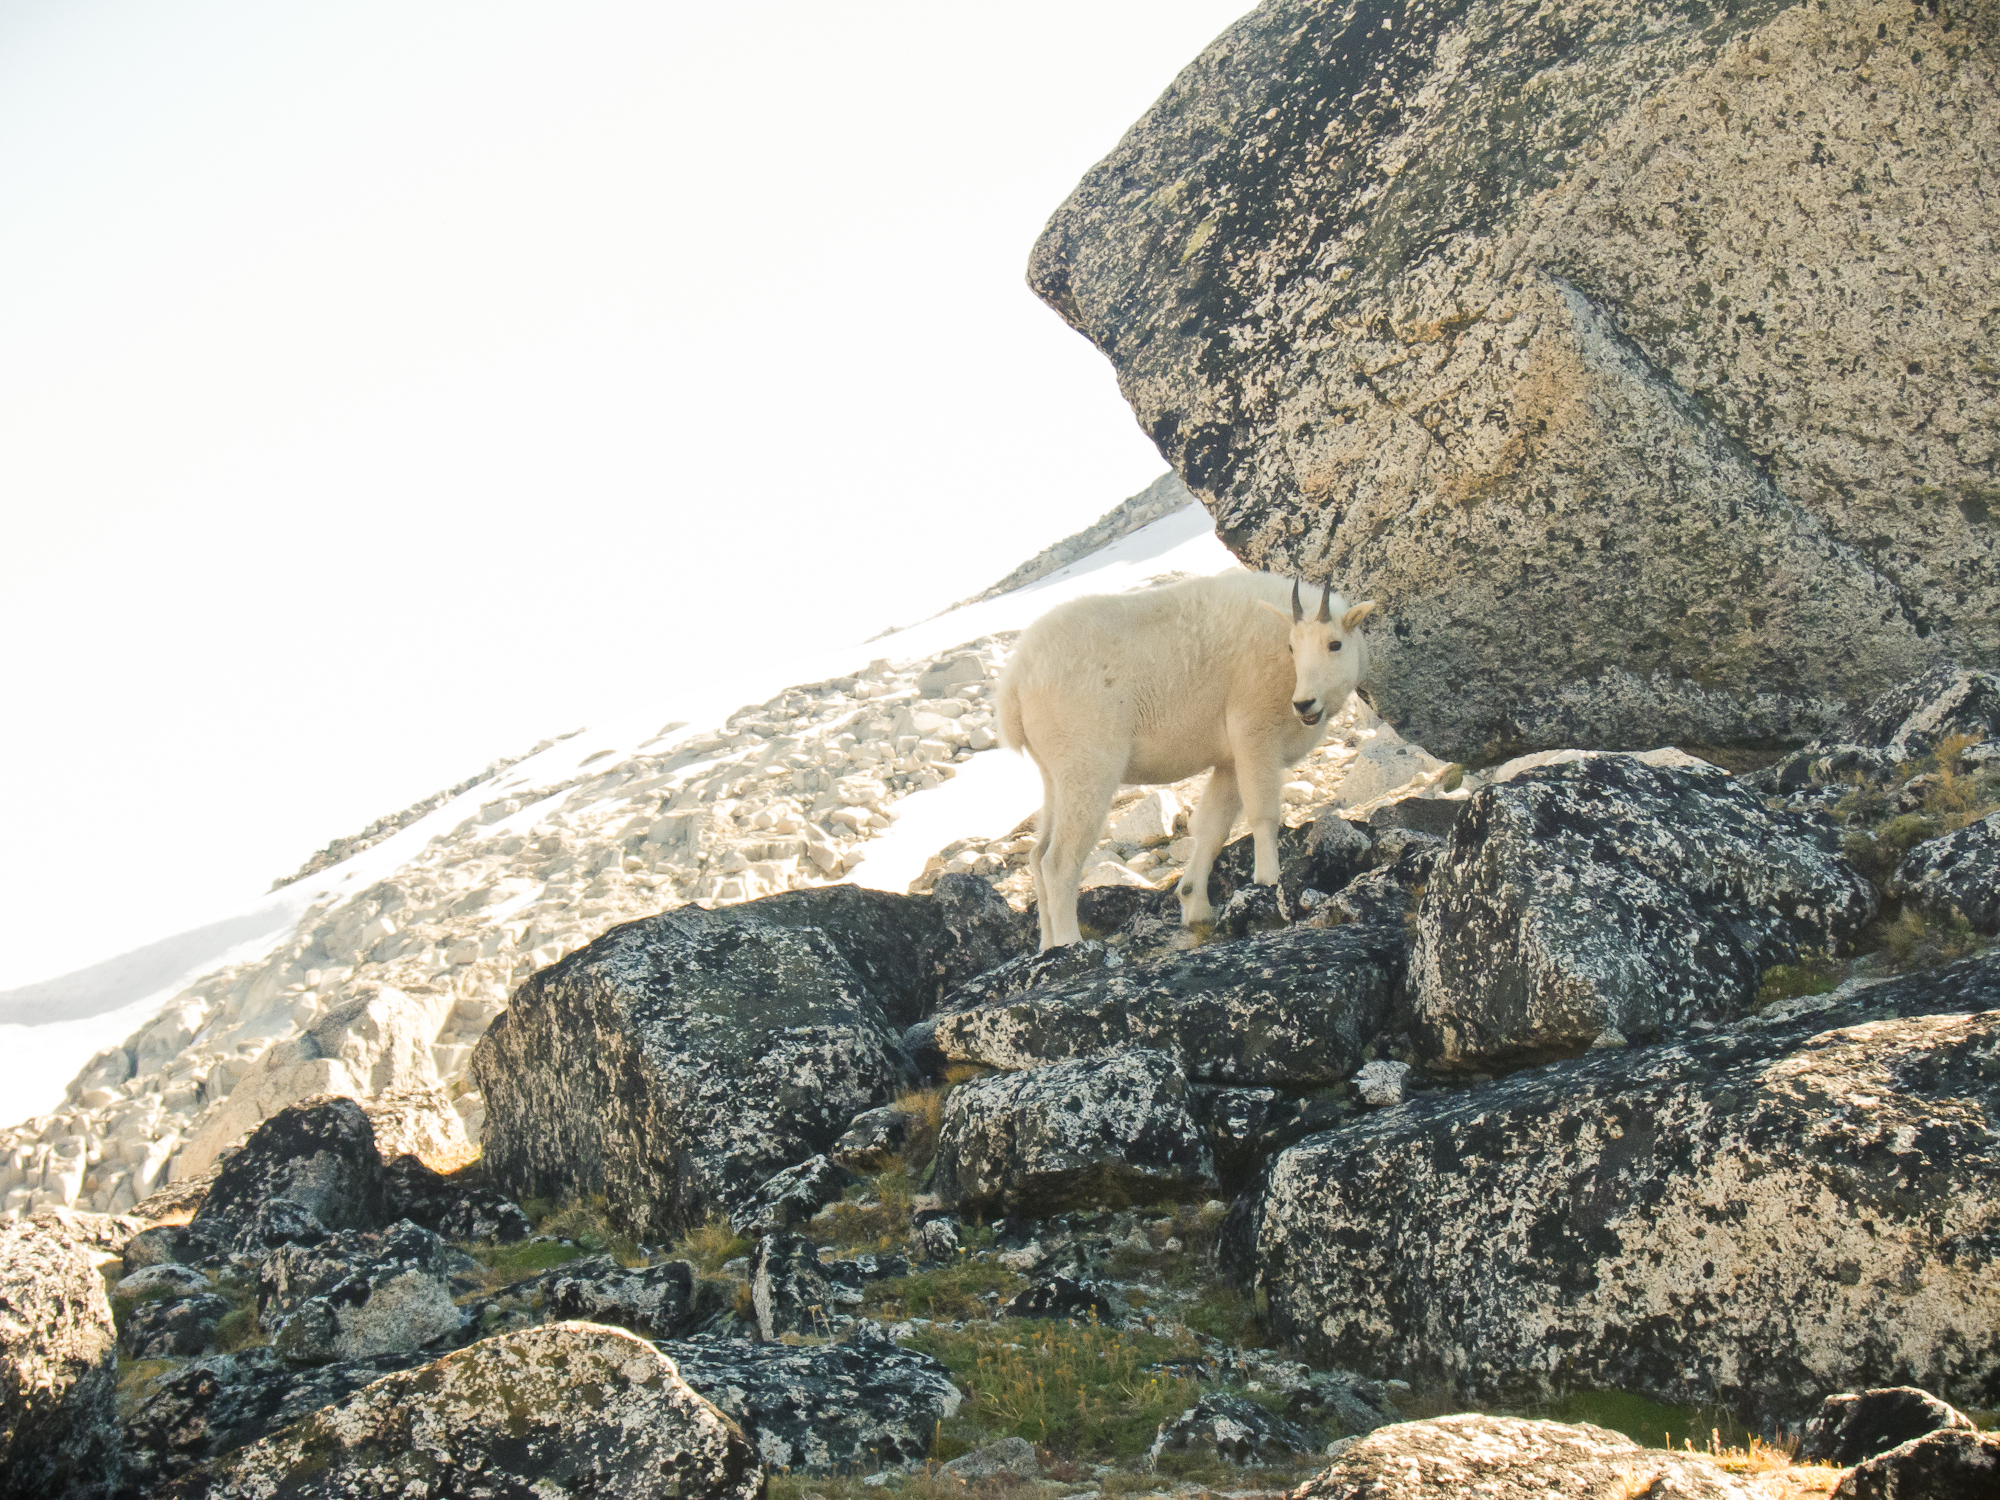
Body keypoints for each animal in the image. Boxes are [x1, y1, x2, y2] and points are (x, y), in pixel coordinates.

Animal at [997, 569, 1376, 950]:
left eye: (1334, 644)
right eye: (1292, 647)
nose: (1304, 704)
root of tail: (1015, 683)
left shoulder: (1229, 761)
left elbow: (1211, 828)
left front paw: (1195, 906)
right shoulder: (1254, 731)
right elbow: (1263, 813)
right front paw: (1268, 881)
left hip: (1054, 773)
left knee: (1036, 855)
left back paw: (1046, 946)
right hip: (1087, 765)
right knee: (1059, 860)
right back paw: (1070, 943)